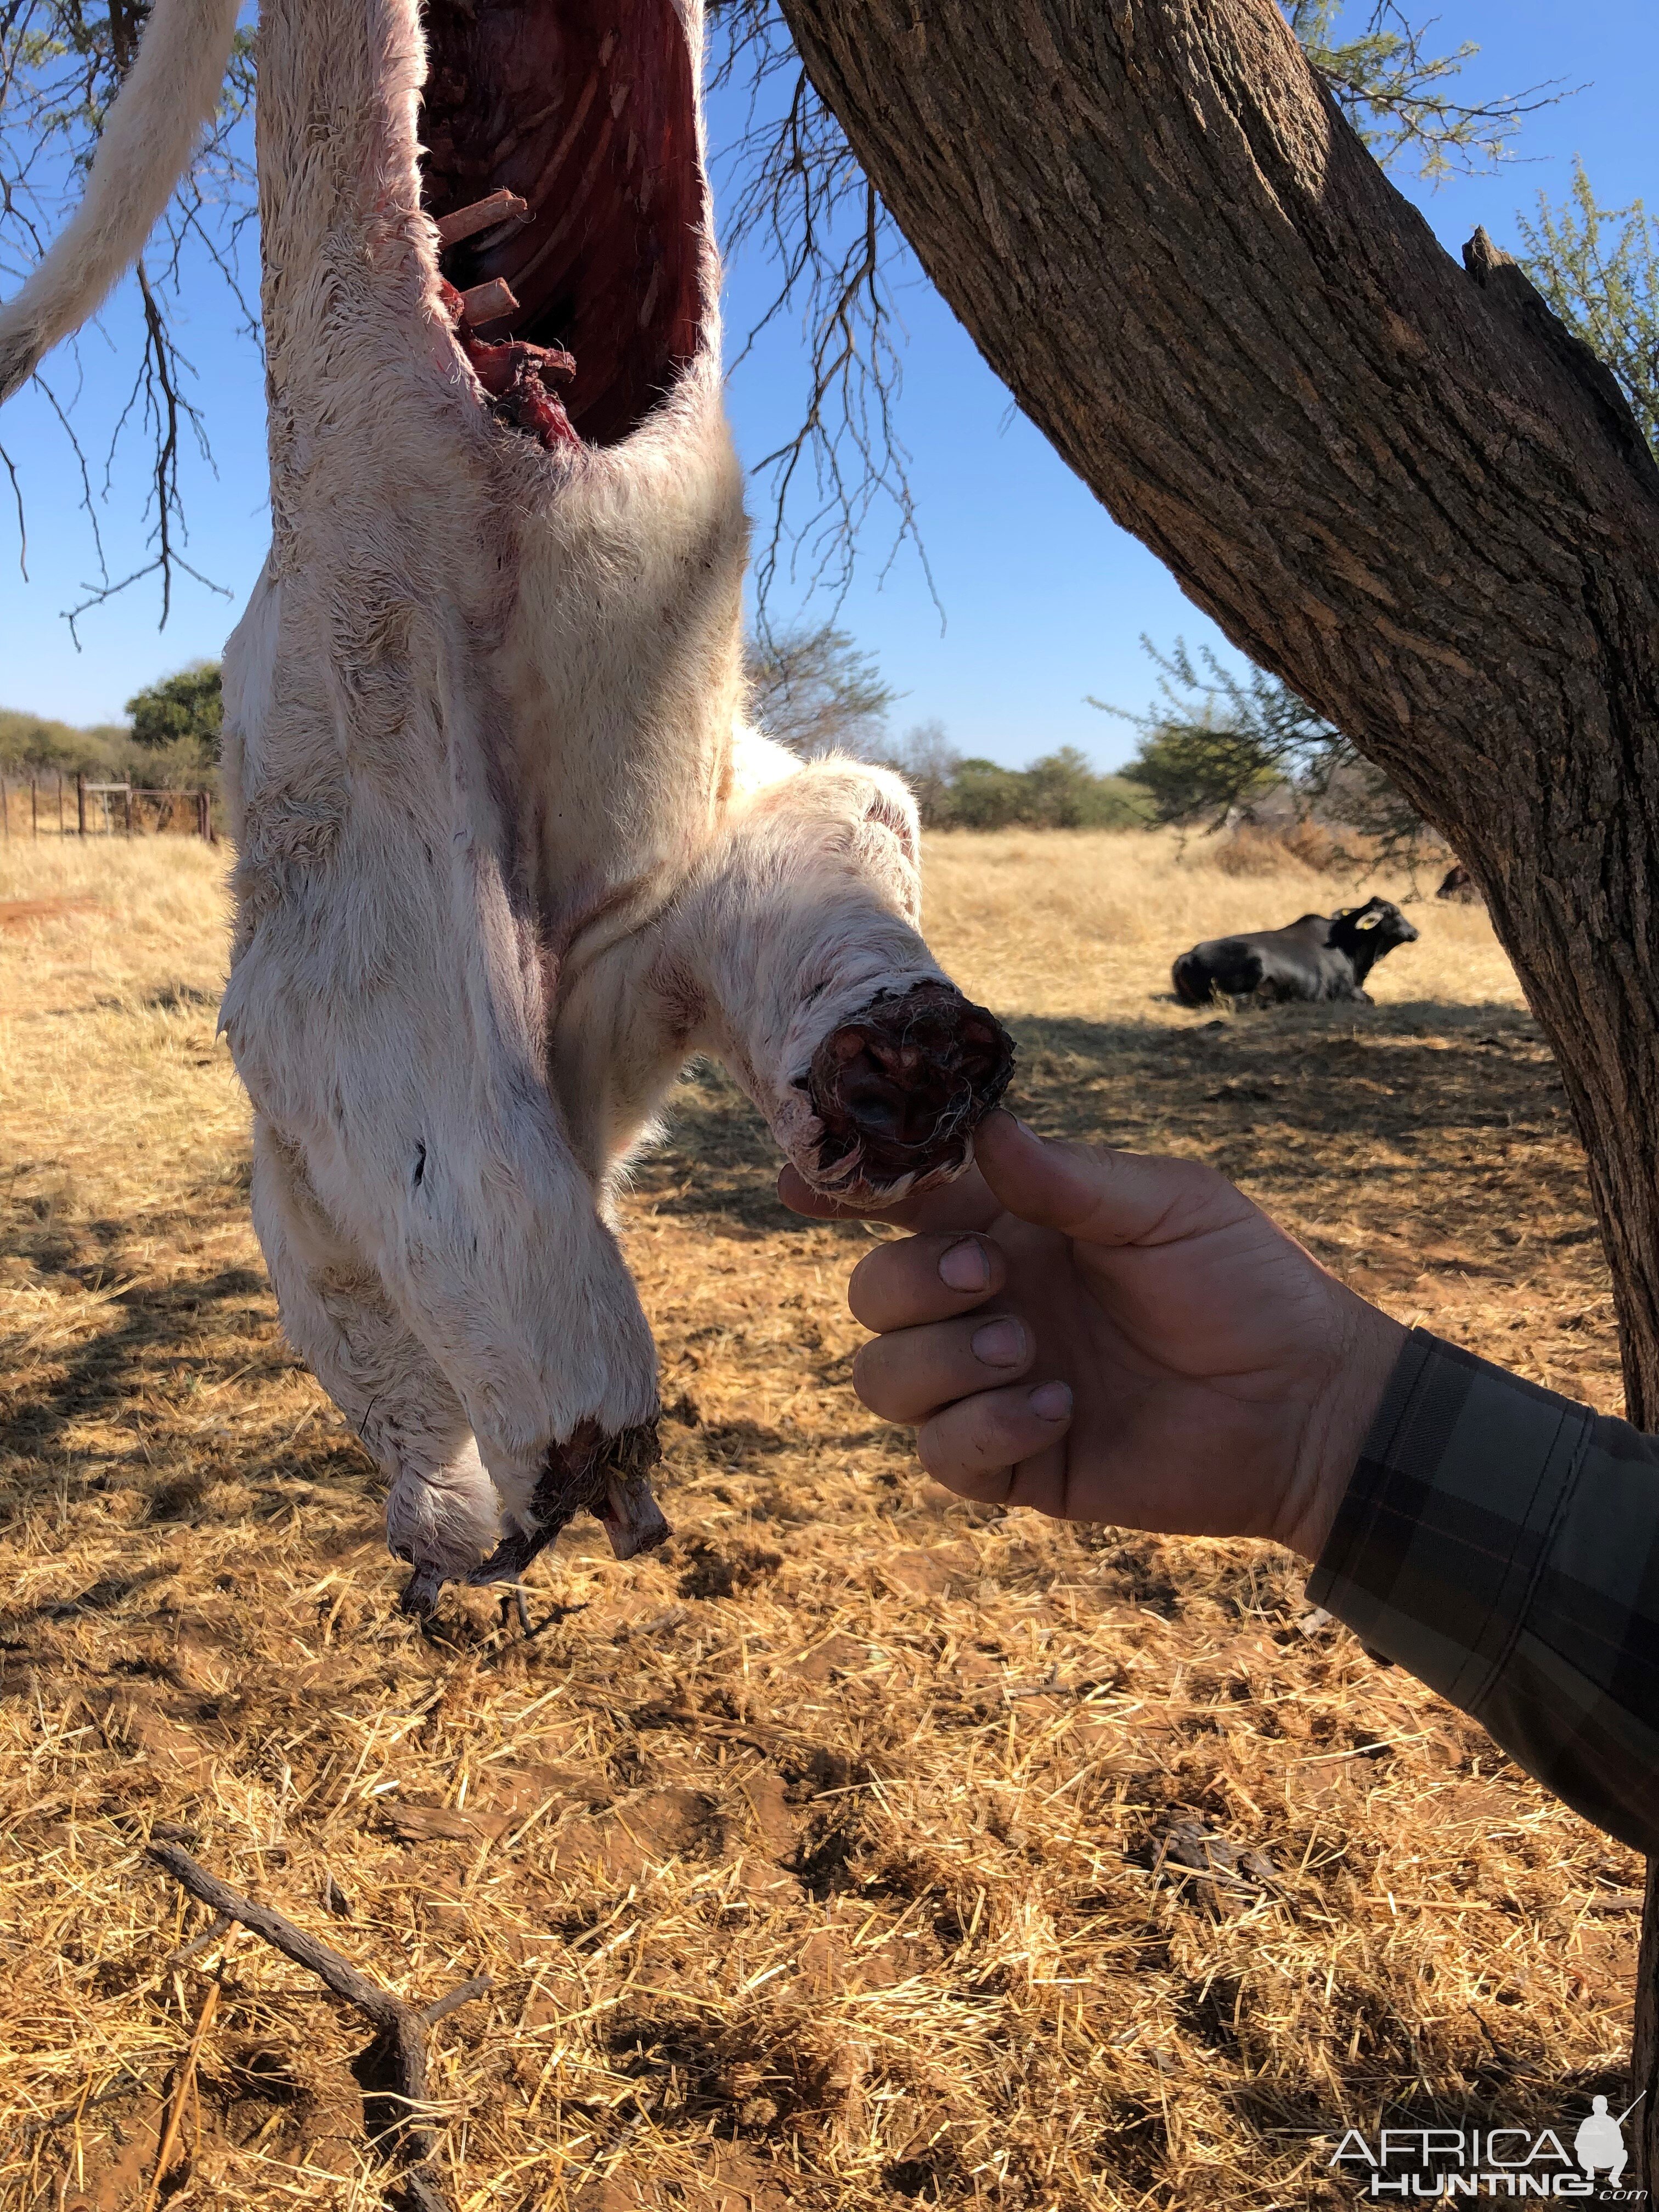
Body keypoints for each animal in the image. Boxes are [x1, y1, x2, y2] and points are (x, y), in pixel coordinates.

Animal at [1177, 893, 1424, 1008]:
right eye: (1394, 913)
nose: (1415, 932)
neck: (1348, 946)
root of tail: (1188, 957)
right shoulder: (1346, 992)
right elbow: (1370, 1000)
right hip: (1253, 967)